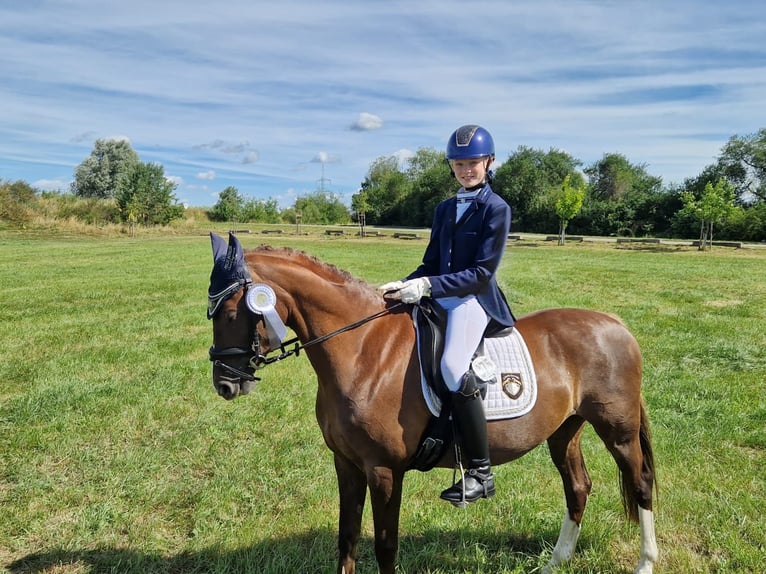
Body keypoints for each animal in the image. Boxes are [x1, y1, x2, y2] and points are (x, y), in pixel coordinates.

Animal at [207, 235, 656, 574]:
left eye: (230, 312)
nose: (225, 385)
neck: (362, 349)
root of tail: (615, 323)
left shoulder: (384, 470)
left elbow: (385, 546)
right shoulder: (346, 463)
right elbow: (347, 537)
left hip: (617, 430)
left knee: (641, 484)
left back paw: (645, 563)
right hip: (565, 430)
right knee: (577, 487)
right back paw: (553, 564)